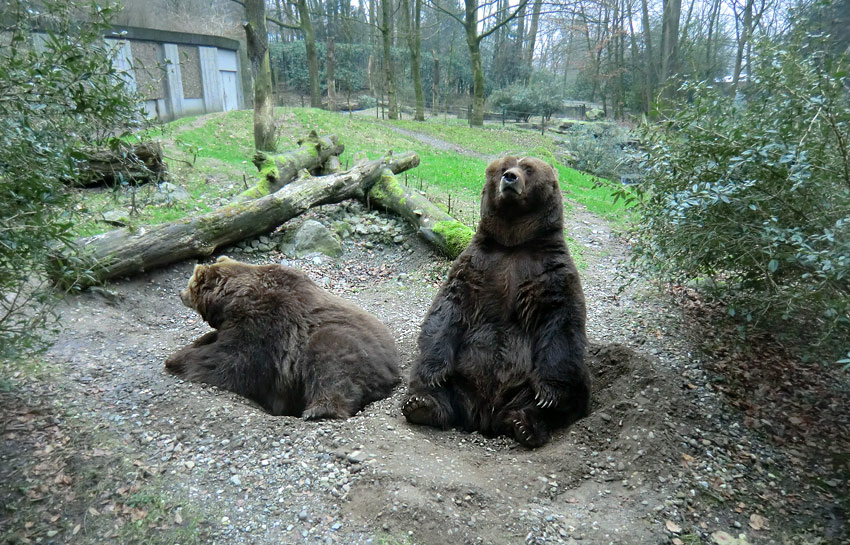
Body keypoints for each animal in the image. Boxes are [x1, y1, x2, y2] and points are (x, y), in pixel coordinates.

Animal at [169, 258, 404, 418]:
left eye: (189, 283)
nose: (180, 294)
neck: (232, 300)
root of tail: (393, 367)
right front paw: (197, 343)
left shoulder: (265, 323)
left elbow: (232, 360)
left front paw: (176, 360)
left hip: (341, 342)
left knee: (332, 366)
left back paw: (319, 410)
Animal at [400, 155, 588, 444]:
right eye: (504, 167)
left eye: (528, 169)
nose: (510, 177)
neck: (514, 243)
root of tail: (485, 416)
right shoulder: (478, 264)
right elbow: (447, 309)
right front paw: (433, 374)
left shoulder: (551, 271)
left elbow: (560, 320)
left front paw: (548, 394)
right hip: (461, 374)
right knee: (425, 373)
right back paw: (423, 405)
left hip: (533, 382)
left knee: (575, 389)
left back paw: (525, 424)